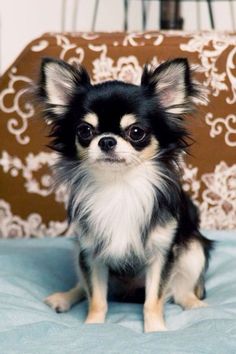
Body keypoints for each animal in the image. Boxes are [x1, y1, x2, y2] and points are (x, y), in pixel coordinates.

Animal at [37, 57, 213, 332]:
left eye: (136, 132)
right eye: (84, 131)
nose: (106, 140)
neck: (119, 185)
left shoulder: (162, 254)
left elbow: (154, 300)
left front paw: (156, 330)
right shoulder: (91, 253)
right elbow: (97, 298)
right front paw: (93, 325)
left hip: (193, 248)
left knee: (180, 290)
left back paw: (194, 304)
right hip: (78, 254)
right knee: (82, 287)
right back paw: (63, 298)